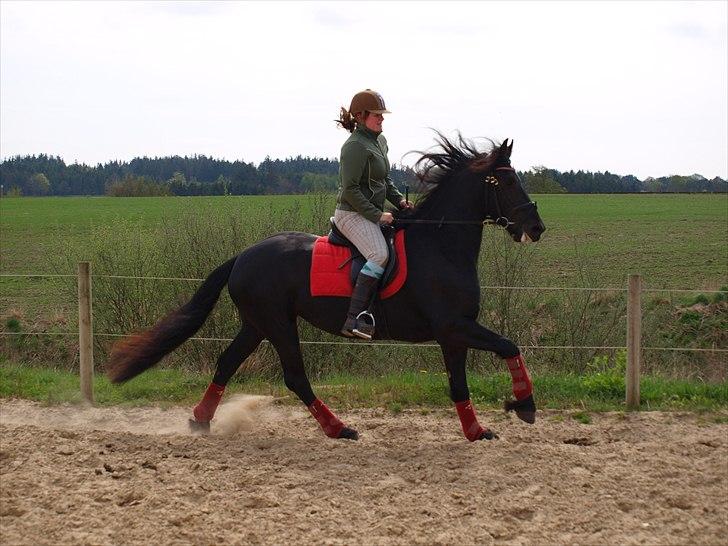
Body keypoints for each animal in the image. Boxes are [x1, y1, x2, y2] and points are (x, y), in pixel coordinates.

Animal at [108, 134, 544, 440]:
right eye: (505, 182)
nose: (536, 228)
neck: (440, 245)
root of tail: (243, 256)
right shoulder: (454, 326)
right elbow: (509, 346)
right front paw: (524, 405)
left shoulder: (453, 333)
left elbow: (459, 384)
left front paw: (476, 431)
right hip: (278, 323)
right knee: (294, 377)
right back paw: (338, 428)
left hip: (256, 324)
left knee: (227, 363)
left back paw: (200, 421)